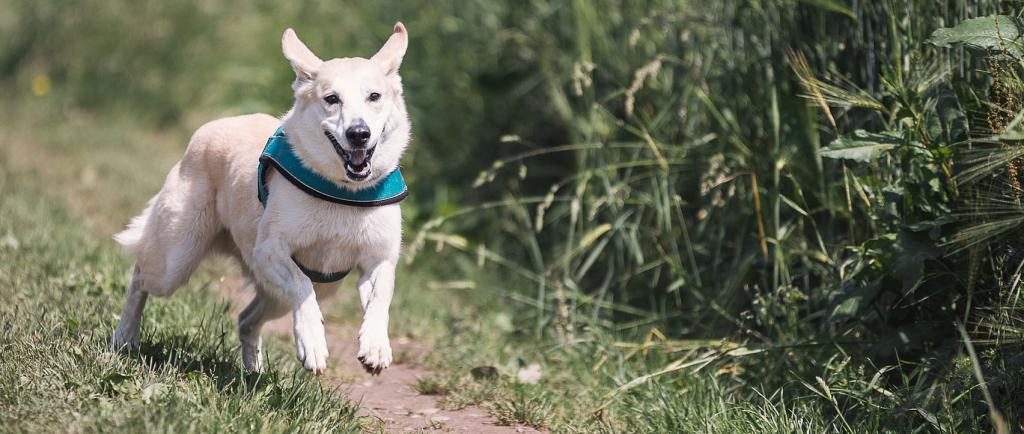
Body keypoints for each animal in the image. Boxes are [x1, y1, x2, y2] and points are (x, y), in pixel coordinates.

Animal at [109, 22, 411, 376]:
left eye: (374, 96)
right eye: (331, 99)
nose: (359, 133)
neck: (343, 192)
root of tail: (211, 127)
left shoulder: (379, 259)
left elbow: (381, 298)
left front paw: (375, 346)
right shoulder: (269, 251)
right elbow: (301, 286)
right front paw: (313, 344)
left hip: (291, 292)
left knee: (246, 319)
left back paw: (254, 372)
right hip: (175, 260)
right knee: (140, 276)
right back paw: (124, 337)